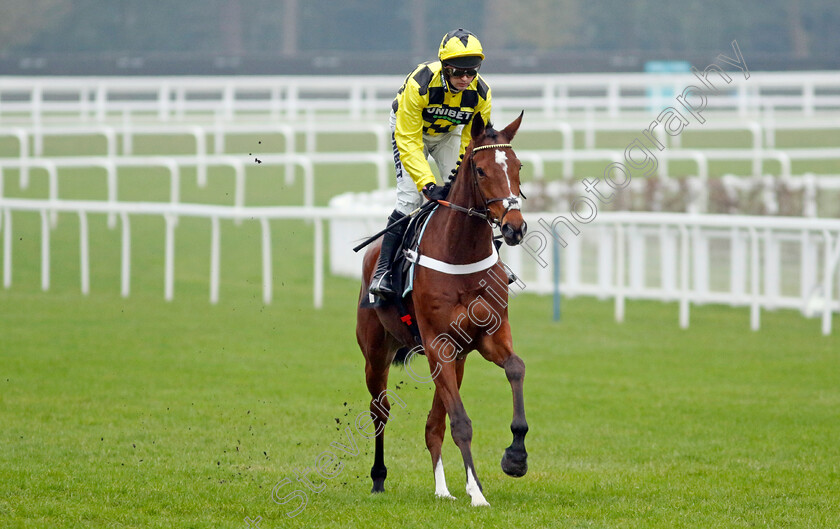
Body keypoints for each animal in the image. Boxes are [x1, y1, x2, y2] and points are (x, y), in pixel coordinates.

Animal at [356, 111, 528, 508]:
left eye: (517, 166)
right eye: (480, 170)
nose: (514, 228)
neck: (460, 252)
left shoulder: (487, 337)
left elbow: (516, 368)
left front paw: (515, 457)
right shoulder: (438, 344)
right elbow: (461, 422)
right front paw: (478, 493)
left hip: (456, 359)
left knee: (433, 424)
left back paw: (443, 488)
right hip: (377, 353)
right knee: (380, 410)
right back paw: (378, 478)